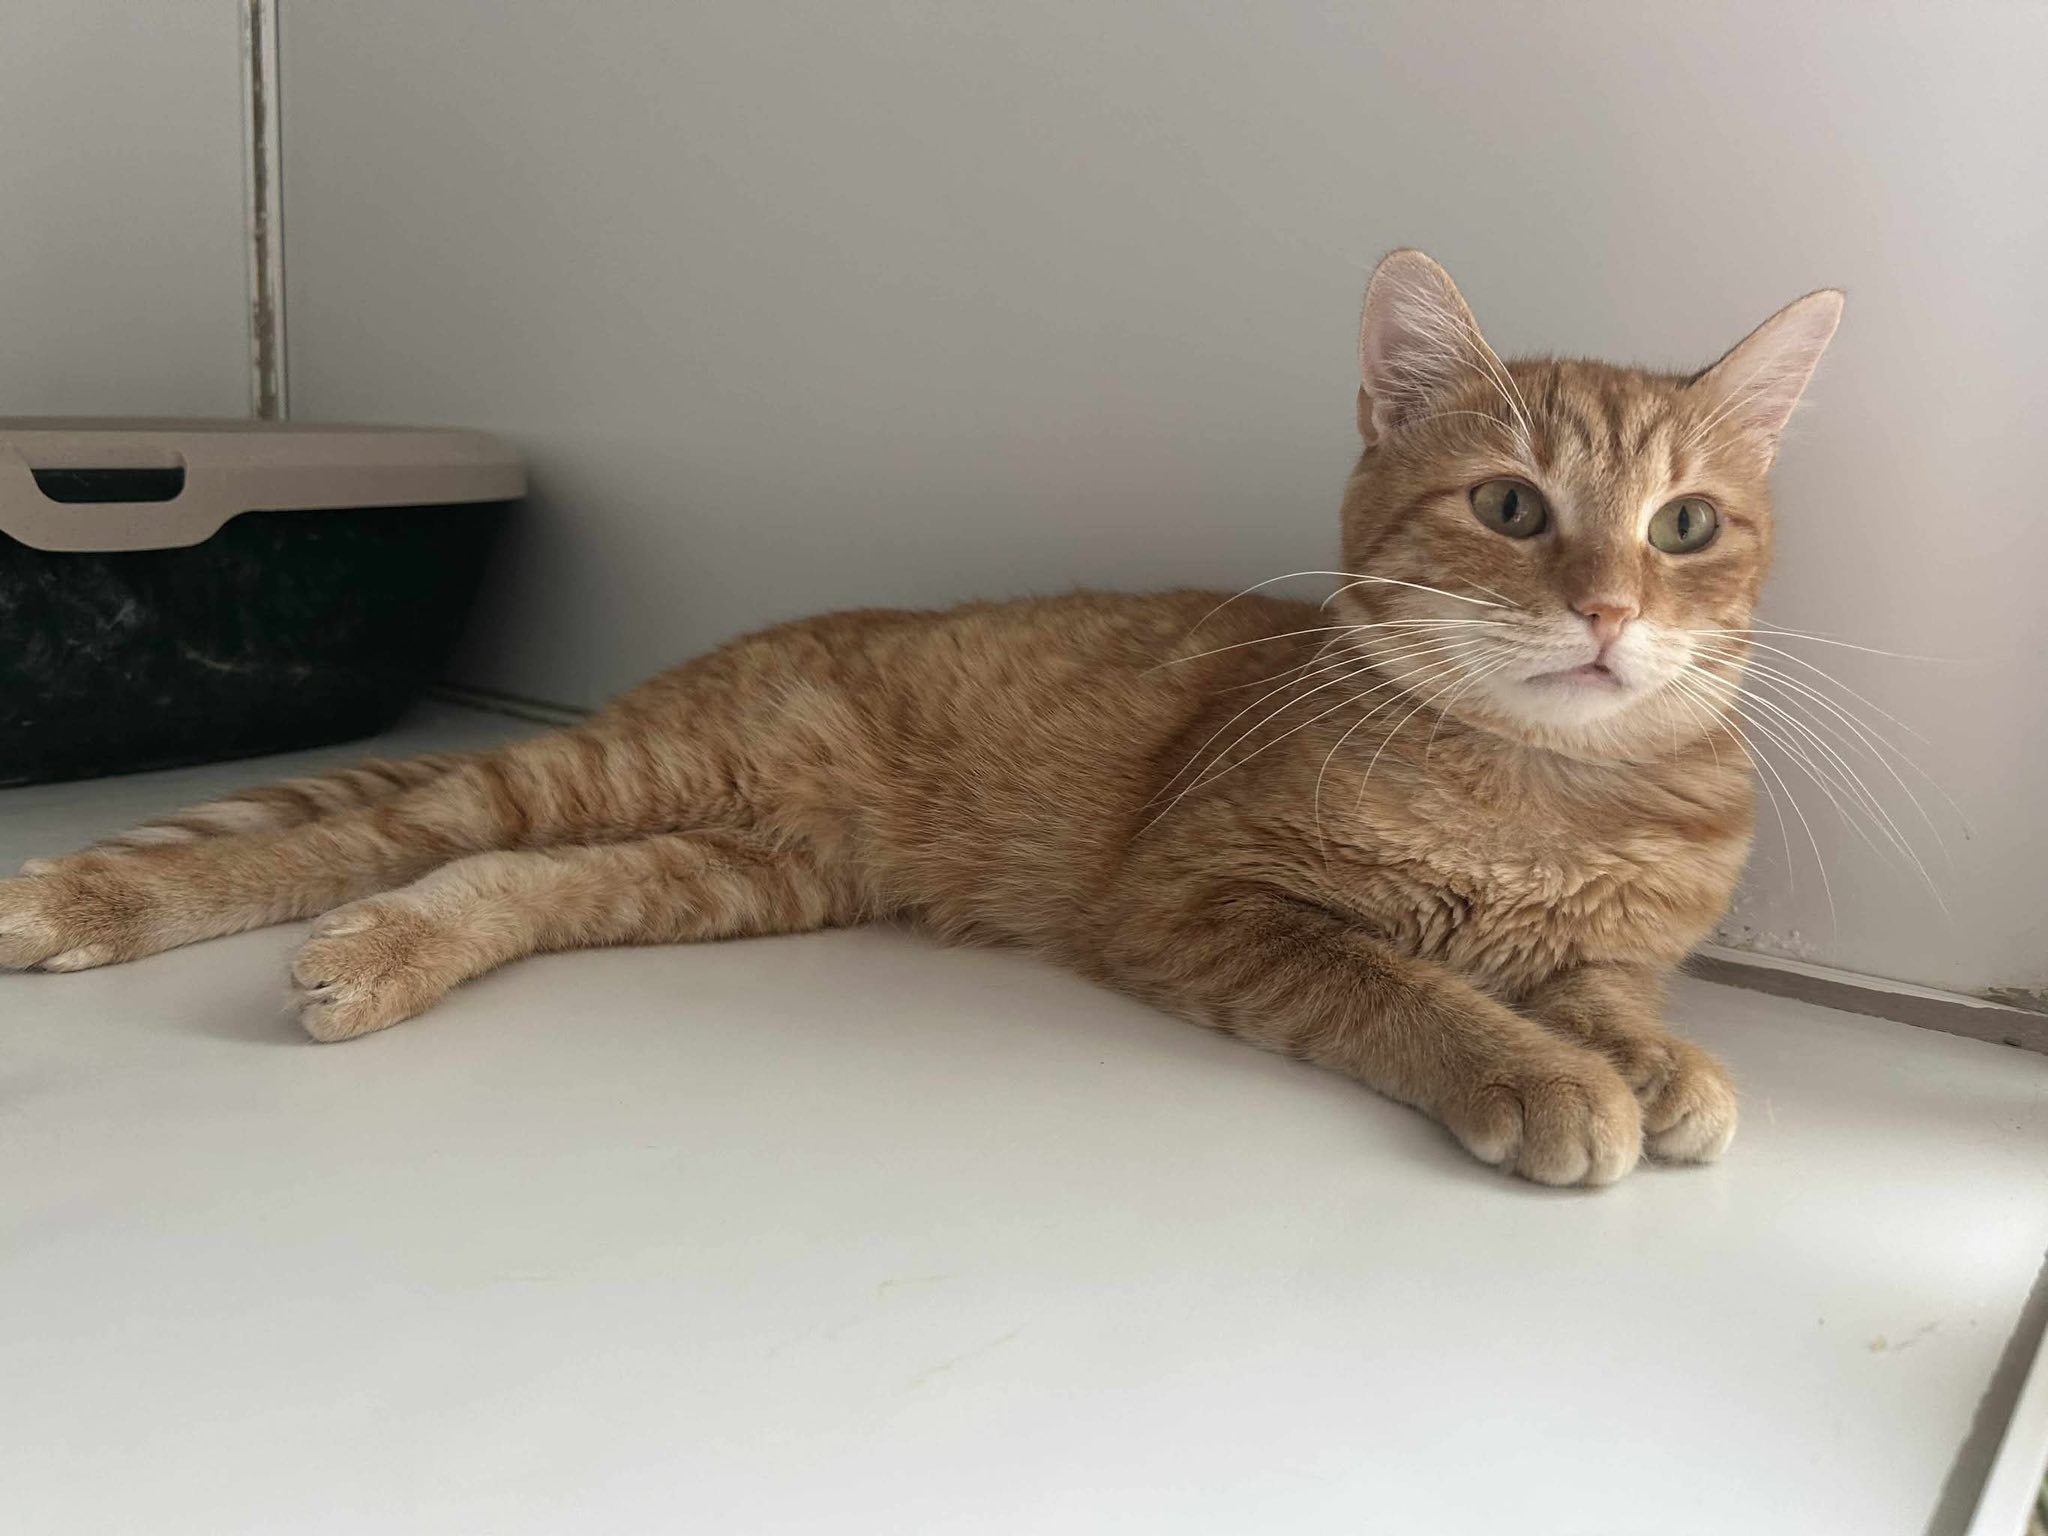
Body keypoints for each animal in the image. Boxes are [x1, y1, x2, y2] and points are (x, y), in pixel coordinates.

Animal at [0, 250, 1841, 1188]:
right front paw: (1541, 1078)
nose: (1608, 610)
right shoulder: (1207, 902)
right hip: (619, 774)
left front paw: (1655, 1064)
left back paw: (384, 956)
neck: (1547, 789)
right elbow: (1411, 989)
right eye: (1512, 509)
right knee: (375, 825)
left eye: (1685, 527)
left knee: (491, 883)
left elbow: (1607, 991)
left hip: (725, 868)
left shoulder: (1611, 938)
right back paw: (84, 902)